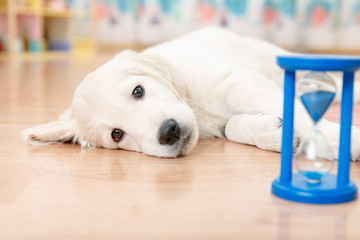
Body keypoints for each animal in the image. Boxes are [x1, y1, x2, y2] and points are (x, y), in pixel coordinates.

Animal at [21, 27, 360, 159]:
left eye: (138, 90)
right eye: (117, 134)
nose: (169, 132)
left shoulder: (239, 83)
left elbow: (297, 113)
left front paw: (345, 142)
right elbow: (233, 126)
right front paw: (272, 132)